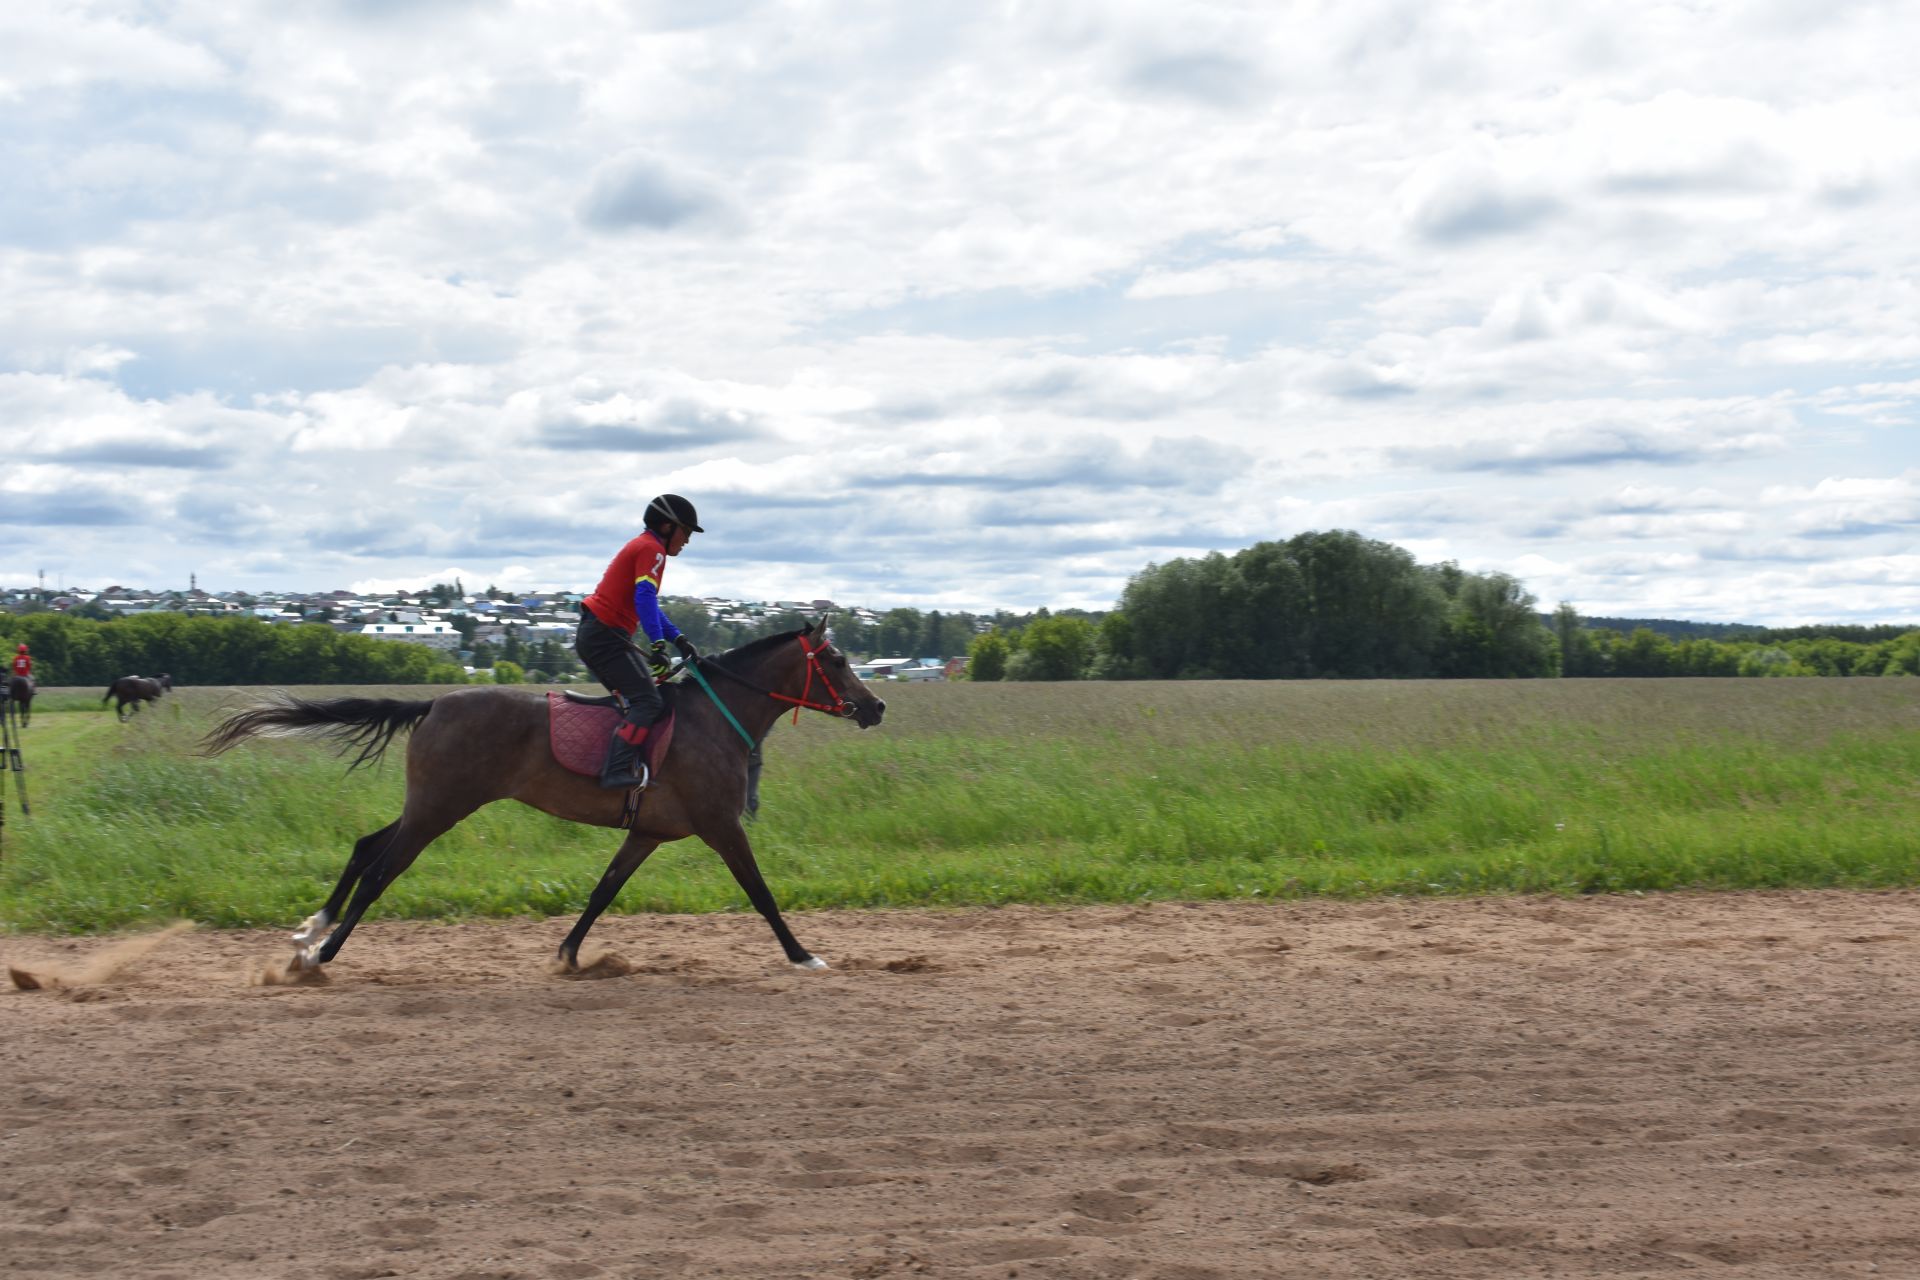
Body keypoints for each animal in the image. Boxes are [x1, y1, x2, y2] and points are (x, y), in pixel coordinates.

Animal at [198, 621, 887, 971]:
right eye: (839, 659)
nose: (876, 706)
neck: (714, 718)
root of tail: (434, 704)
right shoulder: (721, 825)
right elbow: (762, 893)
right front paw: (803, 954)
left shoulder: (649, 832)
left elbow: (603, 890)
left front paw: (569, 954)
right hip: (441, 808)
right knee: (381, 871)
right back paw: (323, 952)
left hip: (431, 803)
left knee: (368, 846)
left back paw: (312, 932)